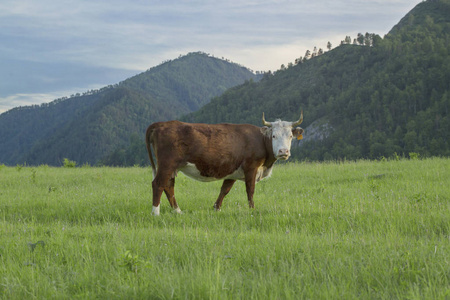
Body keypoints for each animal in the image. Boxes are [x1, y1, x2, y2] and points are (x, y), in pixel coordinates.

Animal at [146, 111, 304, 214]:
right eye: (274, 135)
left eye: (290, 136)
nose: (283, 151)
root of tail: (161, 124)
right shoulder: (251, 168)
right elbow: (250, 190)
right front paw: (252, 210)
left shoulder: (232, 172)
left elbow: (224, 190)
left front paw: (216, 208)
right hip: (167, 164)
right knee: (158, 184)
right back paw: (156, 212)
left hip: (172, 167)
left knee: (168, 186)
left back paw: (178, 211)